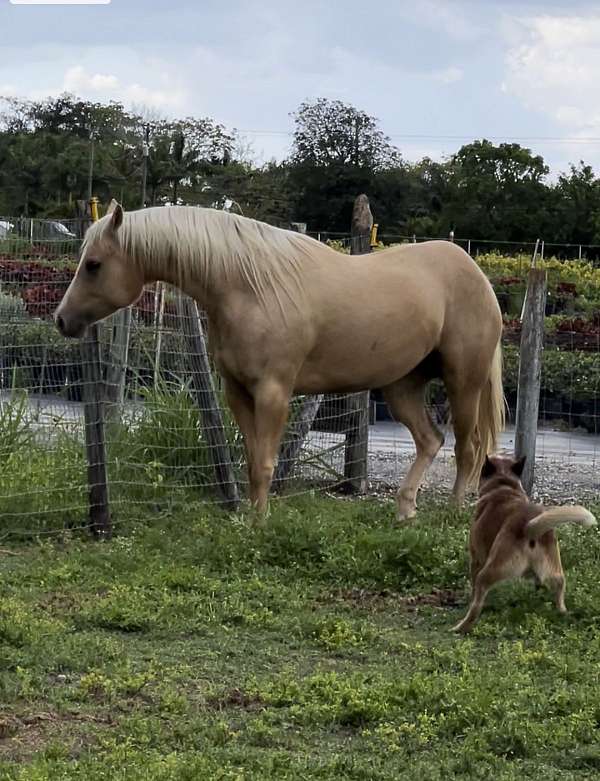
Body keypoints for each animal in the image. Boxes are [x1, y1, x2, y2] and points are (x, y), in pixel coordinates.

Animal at [54, 201, 504, 522]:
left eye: (93, 265)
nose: (62, 320)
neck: (249, 287)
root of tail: (474, 272)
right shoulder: (237, 393)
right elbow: (252, 462)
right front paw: (251, 521)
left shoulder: (273, 393)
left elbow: (266, 465)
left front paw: (260, 525)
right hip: (402, 386)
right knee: (431, 440)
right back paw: (405, 510)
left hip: (463, 381)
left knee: (468, 448)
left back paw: (454, 511)